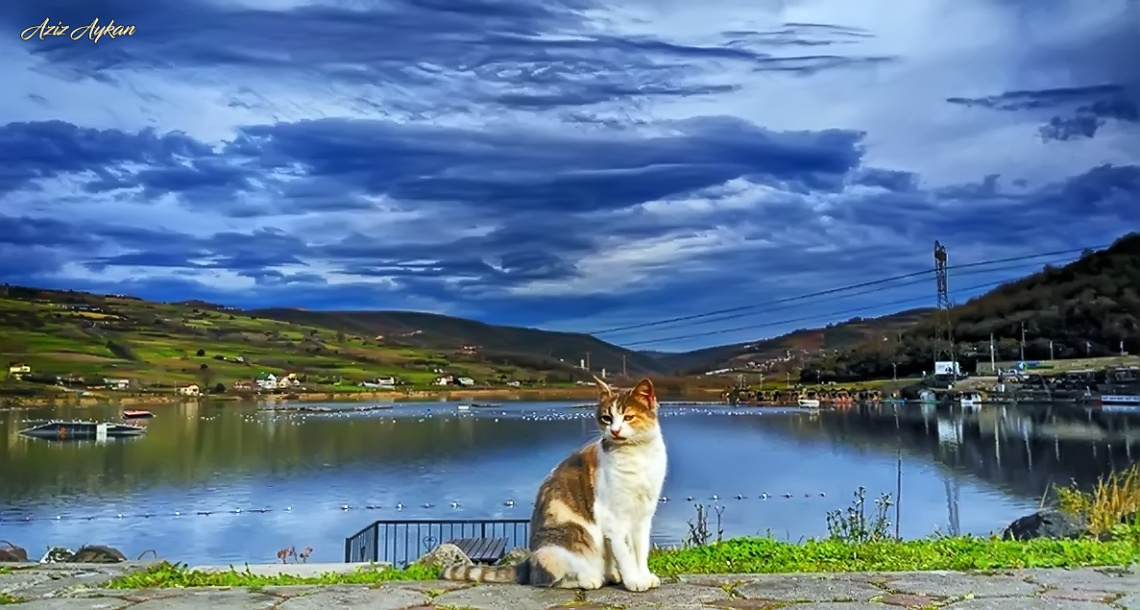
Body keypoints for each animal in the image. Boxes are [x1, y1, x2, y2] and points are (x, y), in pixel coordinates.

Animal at [437, 376, 665, 592]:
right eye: (607, 418)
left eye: (628, 417)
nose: (615, 431)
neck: (636, 456)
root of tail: (529, 562)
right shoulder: (613, 518)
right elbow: (625, 554)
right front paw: (634, 581)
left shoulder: (644, 515)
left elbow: (640, 550)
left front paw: (644, 576)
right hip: (562, 545)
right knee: (546, 579)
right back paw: (590, 580)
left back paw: (611, 575)